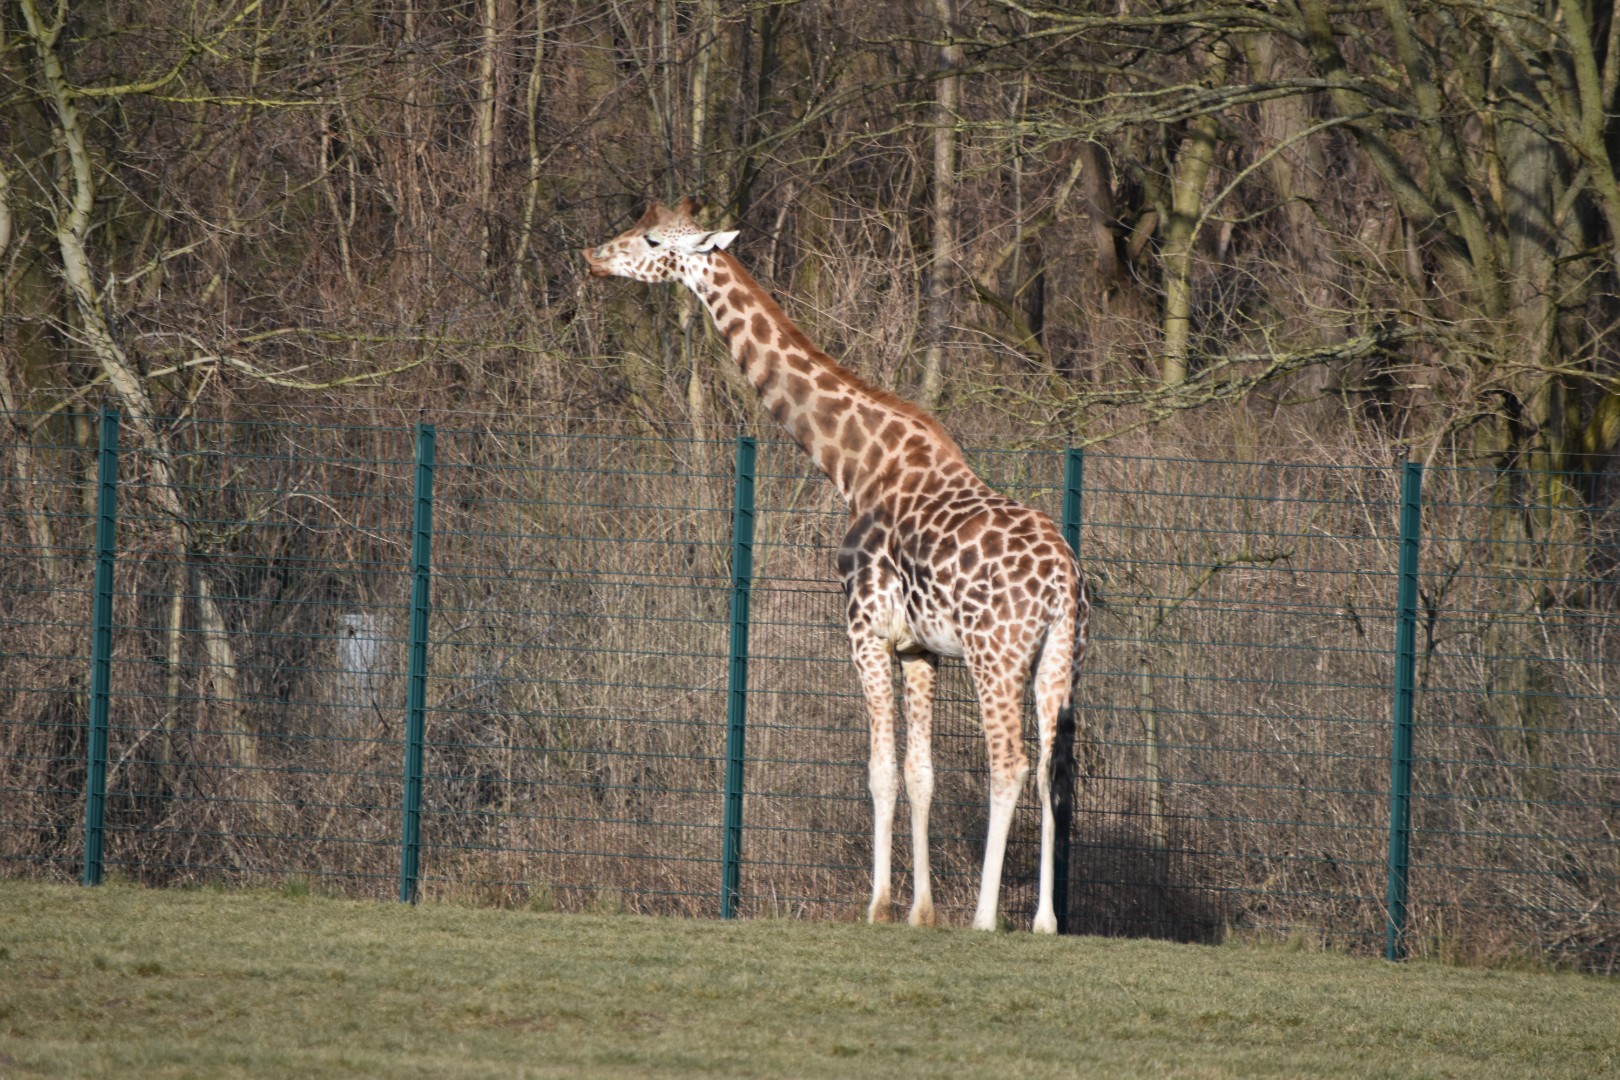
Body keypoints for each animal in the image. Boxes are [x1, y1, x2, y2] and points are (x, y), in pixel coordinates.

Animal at [583, 198, 1090, 932]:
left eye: (651, 240)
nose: (592, 256)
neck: (856, 466)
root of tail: (1061, 582)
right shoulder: (919, 648)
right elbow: (920, 773)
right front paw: (920, 911)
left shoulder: (864, 630)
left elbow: (879, 769)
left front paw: (879, 906)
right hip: (1058, 657)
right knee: (1053, 768)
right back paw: (1047, 921)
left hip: (996, 654)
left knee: (1010, 763)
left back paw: (987, 917)